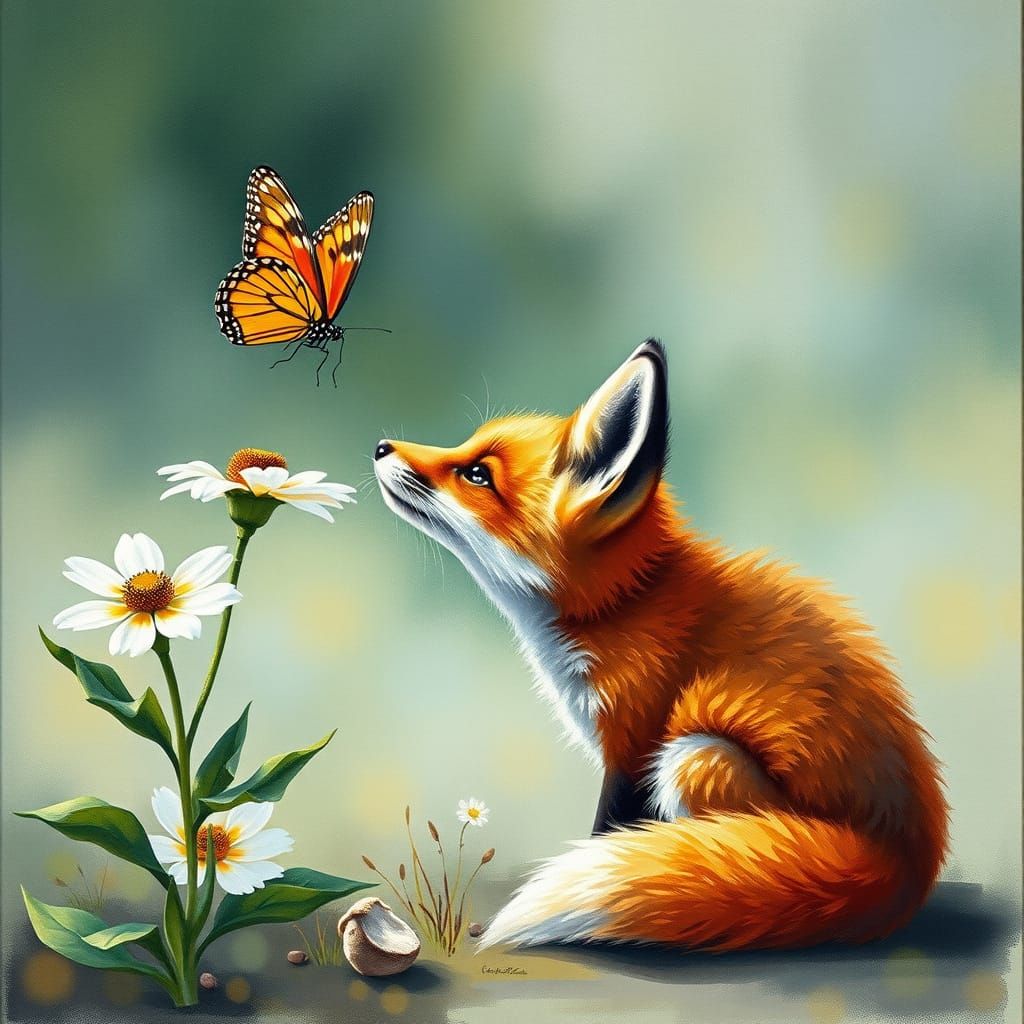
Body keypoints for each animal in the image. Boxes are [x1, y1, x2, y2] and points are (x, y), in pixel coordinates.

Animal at [372, 339, 949, 951]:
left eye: (477, 475)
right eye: (466, 448)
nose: (381, 446)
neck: (622, 603)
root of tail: (906, 863)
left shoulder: (635, 742)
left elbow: (609, 831)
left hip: (694, 756)